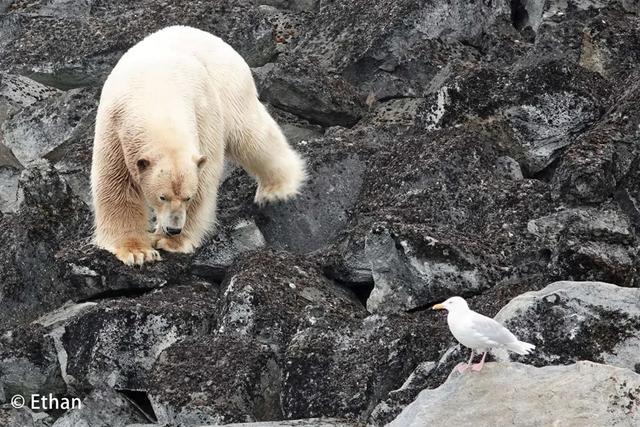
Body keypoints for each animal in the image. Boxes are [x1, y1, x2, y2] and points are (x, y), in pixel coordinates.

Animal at [89, 25, 304, 266]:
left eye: (187, 197)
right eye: (162, 196)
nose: (173, 228)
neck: (157, 96)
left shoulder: (204, 113)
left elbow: (205, 178)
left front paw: (171, 242)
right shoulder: (114, 125)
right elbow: (115, 182)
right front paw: (137, 251)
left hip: (230, 87)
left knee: (250, 134)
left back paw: (277, 189)